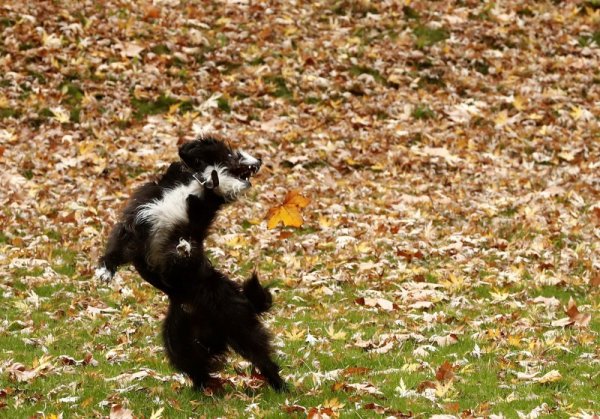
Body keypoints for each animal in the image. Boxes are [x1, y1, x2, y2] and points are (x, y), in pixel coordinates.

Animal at [96, 138, 288, 394]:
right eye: (234, 154)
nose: (260, 160)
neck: (199, 184)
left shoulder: (191, 227)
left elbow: (186, 244)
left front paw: (184, 248)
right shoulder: (138, 223)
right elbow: (117, 248)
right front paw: (105, 270)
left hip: (238, 325)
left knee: (263, 359)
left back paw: (282, 388)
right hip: (178, 340)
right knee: (196, 368)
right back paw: (203, 392)